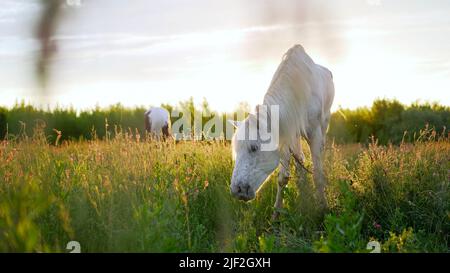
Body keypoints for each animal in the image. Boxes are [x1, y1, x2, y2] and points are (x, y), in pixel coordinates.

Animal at [229, 44, 334, 215]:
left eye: (254, 148)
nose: (237, 190)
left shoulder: (314, 133)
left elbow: (317, 174)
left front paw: (324, 207)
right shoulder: (286, 135)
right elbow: (283, 177)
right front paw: (277, 213)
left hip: (324, 124)